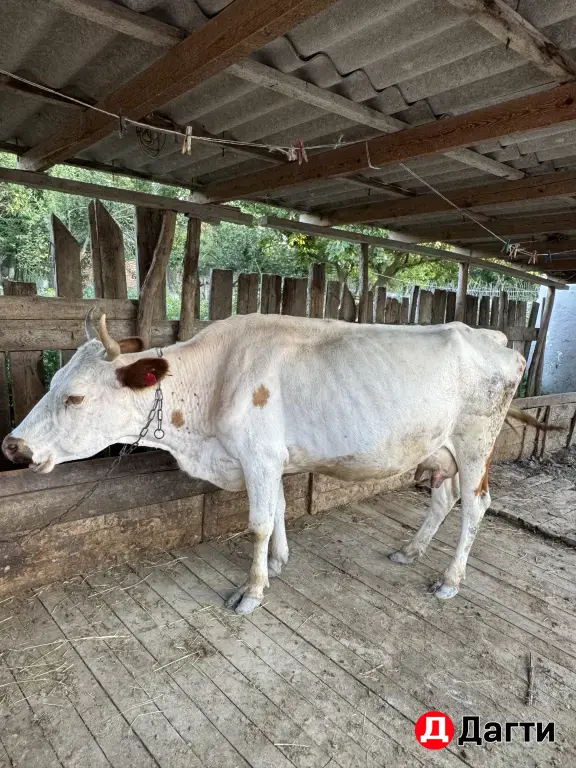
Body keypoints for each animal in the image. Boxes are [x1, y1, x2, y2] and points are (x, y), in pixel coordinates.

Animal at [3, 312, 530, 614]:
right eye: (52, 383)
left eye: (74, 397)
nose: (14, 447)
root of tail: (491, 337)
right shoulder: (272, 460)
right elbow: (278, 509)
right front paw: (278, 561)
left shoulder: (258, 455)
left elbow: (257, 522)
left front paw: (253, 590)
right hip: (440, 448)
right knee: (444, 497)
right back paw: (410, 550)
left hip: (475, 443)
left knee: (475, 506)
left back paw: (450, 580)